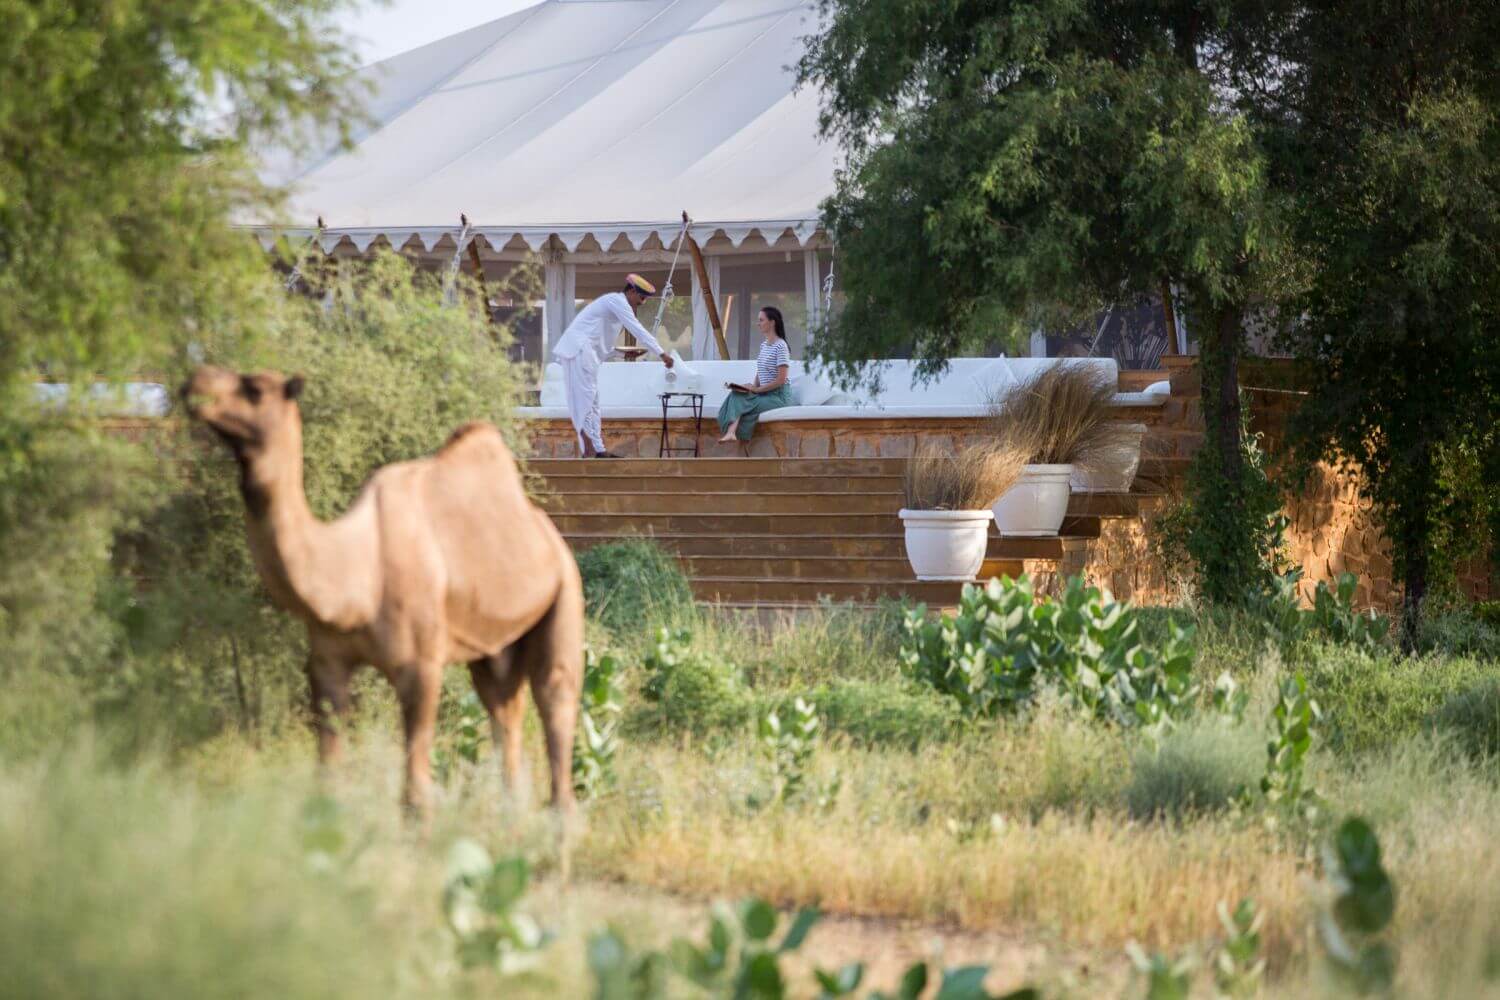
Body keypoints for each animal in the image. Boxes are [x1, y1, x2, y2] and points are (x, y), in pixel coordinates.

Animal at [182, 365, 584, 817]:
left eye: (253, 389)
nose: (194, 383)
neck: (355, 571)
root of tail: (549, 536)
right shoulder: (326, 661)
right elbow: (328, 781)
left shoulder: (421, 667)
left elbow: (415, 795)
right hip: (494, 643)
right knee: (504, 710)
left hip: (566, 590)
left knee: (556, 699)